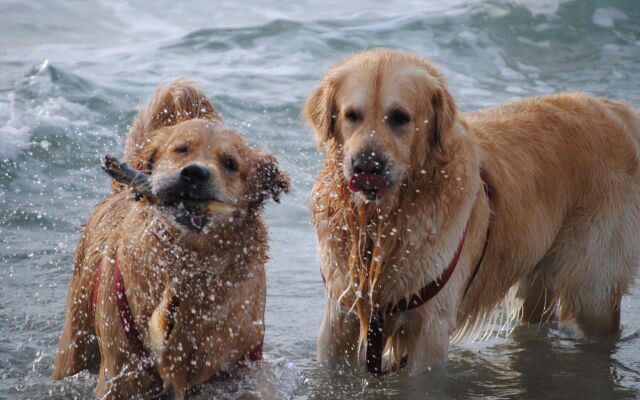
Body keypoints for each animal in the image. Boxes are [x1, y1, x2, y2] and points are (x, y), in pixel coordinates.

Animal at [52, 79, 290, 396]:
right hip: (74, 340)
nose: (194, 174)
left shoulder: (243, 366)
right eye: (181, 149)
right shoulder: (119, 375)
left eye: (230, 163)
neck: (188, 262)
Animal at [304, 49, 640, 376]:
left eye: (399, 118)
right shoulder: (340, 319)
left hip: (593, 287)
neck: (385, 222)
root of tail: (613, 110)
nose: (366, 166)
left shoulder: (430, 330)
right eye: (352, 115)